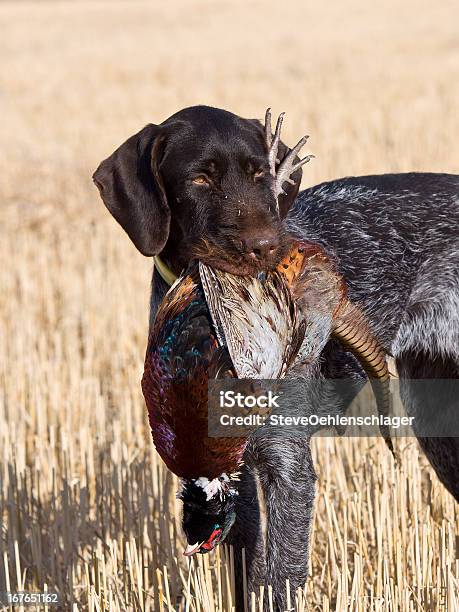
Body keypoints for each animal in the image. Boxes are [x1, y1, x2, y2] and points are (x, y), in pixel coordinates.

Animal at [93, 106, 459, 612]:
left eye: (260, 175)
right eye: (200, 179)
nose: (269, 246)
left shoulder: (287, 469)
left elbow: (282, 577)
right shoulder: (232, 476)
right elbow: (246, 576)